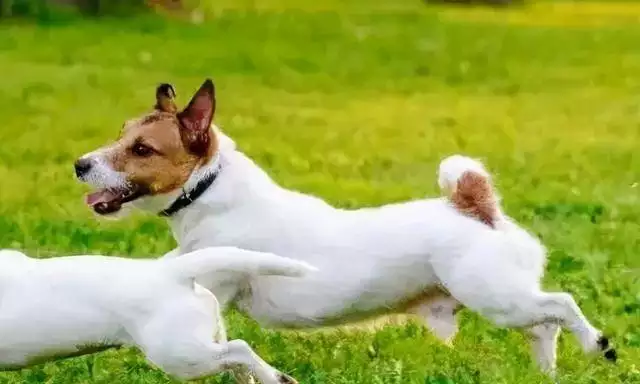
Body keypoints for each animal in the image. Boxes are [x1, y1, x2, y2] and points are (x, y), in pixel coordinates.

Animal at [0, 248, 312, 382]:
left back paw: (277, 378)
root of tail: (174, 272)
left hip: (181, 355)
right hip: (202, 341)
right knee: (237, 361)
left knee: (239, 350)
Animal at [75, 79, 616, 376]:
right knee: (544, 327)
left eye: (142, 149)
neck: (209, 192)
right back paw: (547, 373)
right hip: (507, 301)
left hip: (496, 295)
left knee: (560, 307)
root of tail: (475, 207)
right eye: (122, 134)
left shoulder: (216, 278)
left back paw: (598, 344)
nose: (80, 165)